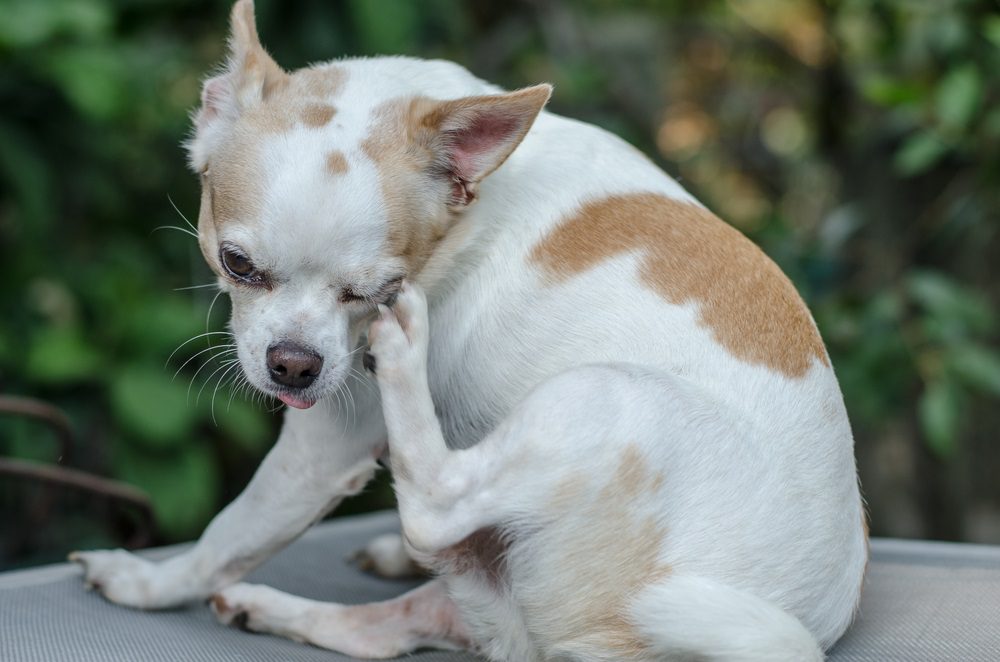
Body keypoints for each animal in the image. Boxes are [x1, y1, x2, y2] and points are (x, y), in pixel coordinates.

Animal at [70, 2, 868, 660]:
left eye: (375, 291)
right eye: (238, 264)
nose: (294, 365)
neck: (467, 207)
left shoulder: (325, 444)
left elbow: (226, 535)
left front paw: (149, 584)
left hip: (599, 399)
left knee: (434, 506)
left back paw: (404, 363)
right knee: (397, 624)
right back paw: (273, 605)